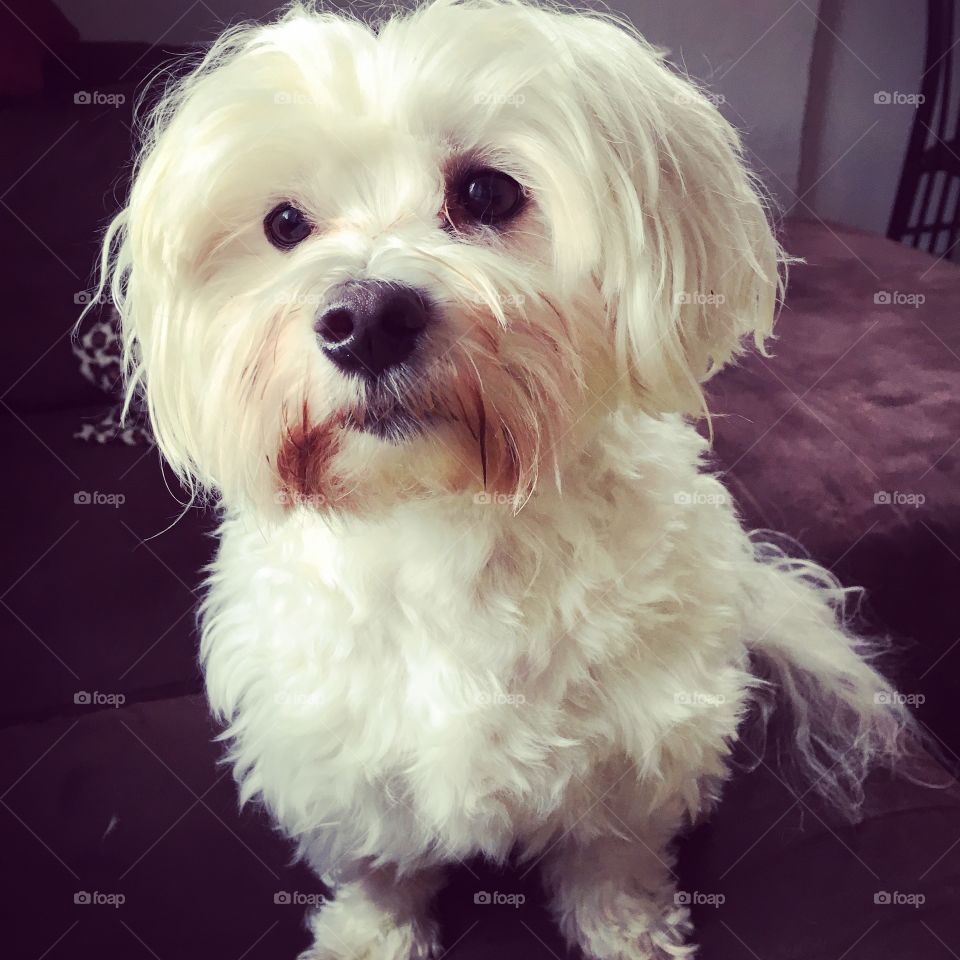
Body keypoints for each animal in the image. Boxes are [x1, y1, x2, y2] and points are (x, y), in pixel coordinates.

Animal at [99, 3, 916, 956]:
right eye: (285, 224)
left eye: (487, 194)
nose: (365, 319)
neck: (449, 514)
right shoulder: (334, 752)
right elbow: (380, 869)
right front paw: (370, 935)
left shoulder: (639, 745)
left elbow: (613, 860)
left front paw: (628, 932)